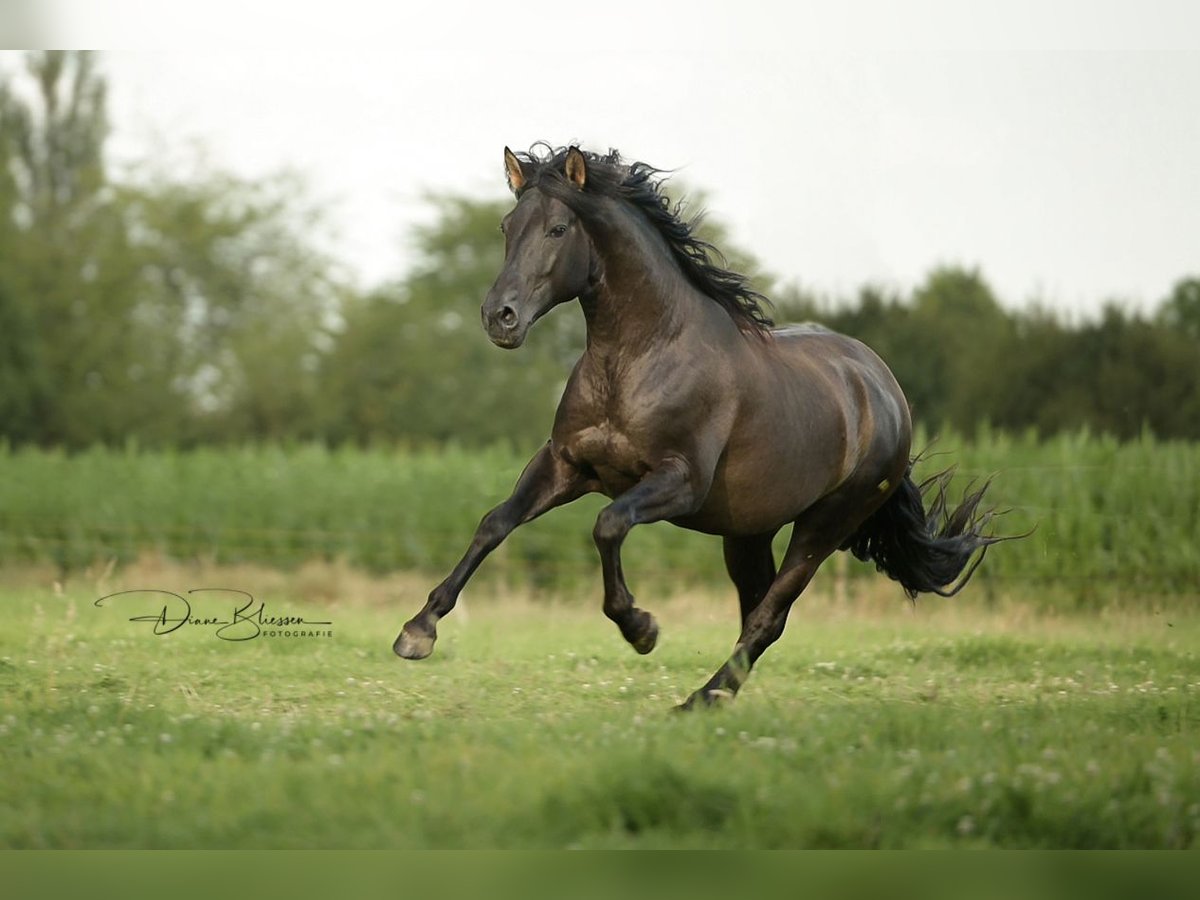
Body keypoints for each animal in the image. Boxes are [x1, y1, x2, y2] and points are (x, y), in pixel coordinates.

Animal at [393, 144, 1003, 710]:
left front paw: (641, 628)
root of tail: (884, 389)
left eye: (558, 228)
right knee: (757, 609)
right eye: (506, 226)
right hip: (749, 530)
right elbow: (494, 524)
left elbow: (607, 526)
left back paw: (701, 700)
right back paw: (719, 695)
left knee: (770, 614)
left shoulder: (679, 482)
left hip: (825, 524)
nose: (499, 317)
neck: (637, 359)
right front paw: (417, 631)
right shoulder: (565, 464)